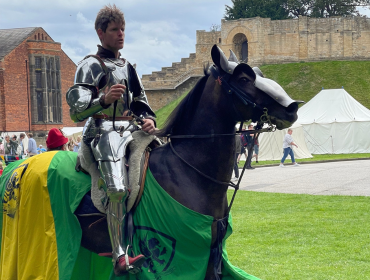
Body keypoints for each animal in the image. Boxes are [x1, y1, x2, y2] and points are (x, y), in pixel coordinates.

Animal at [0, 44, 300, 278]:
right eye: (244, 78)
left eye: (259, 73)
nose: (292, 108)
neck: (188, 171)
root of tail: (17, 166)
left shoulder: (209, 257)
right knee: (117, 194)